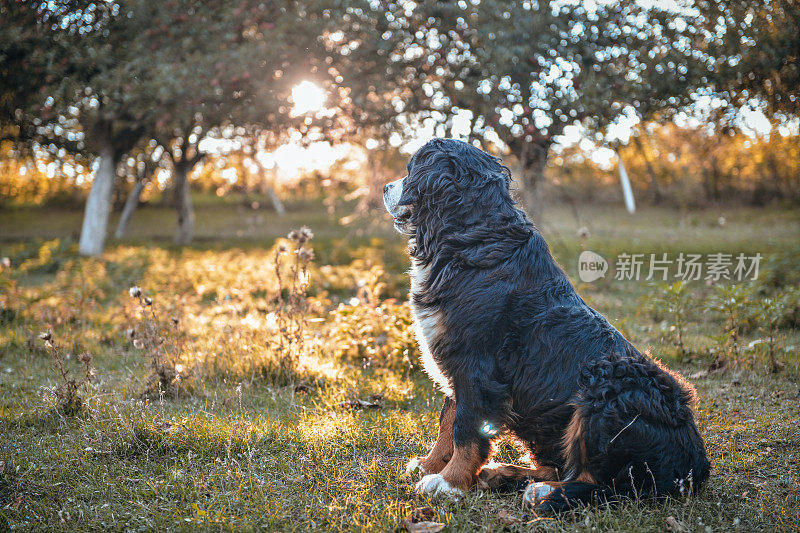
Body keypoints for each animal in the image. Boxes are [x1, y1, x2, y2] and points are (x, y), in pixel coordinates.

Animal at [384, 137, 708, 512]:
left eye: (411, 171)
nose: (384, 187)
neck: (471, 238)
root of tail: (695, 465)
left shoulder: (476, 365)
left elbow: (465, 429)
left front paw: (448, 482)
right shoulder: (454, 361)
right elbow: (447, 421)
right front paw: (429, 464)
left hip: (607, 387)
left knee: (606, 486)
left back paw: (541, 492)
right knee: (565, 468)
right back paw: (503, 474)